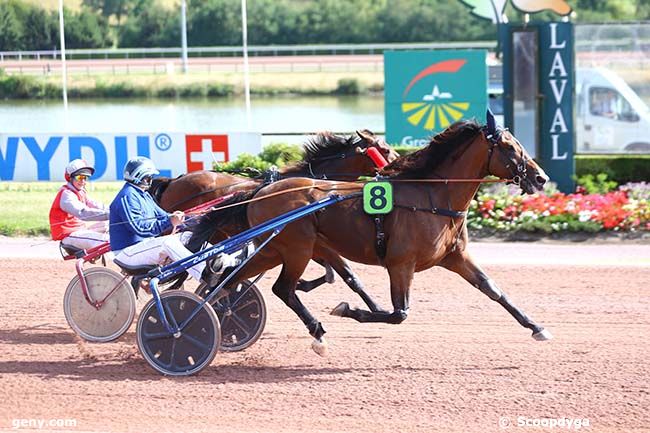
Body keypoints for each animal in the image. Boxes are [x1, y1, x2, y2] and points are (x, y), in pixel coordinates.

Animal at [191, 111, 552, 354]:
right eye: (508, 146)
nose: (541, 178)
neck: (434, 197)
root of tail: (260, 191)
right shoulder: (400, 263)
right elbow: (398, 314)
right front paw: (346, 309)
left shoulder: (455, 257)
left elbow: (493, 289)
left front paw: (536, 326)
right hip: (296, 249)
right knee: (281, 288)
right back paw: (316, 332)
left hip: (273, 249)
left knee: (227, 281)